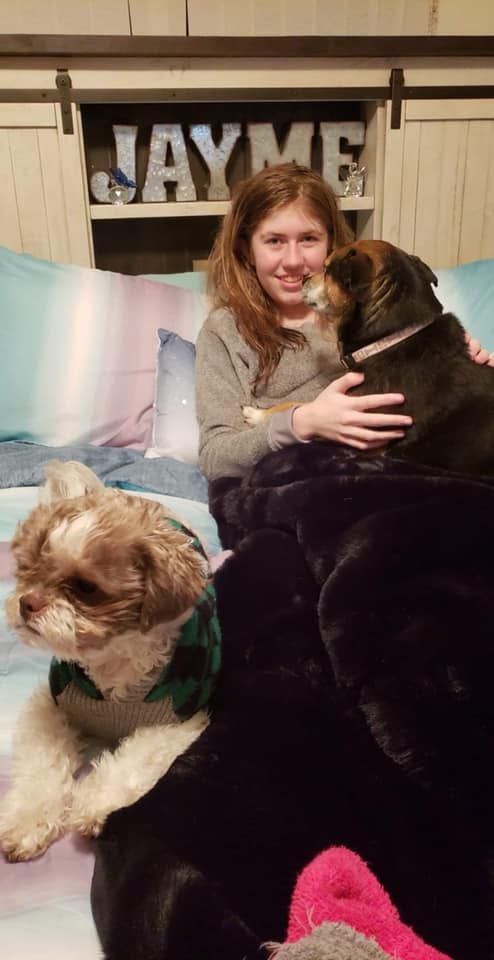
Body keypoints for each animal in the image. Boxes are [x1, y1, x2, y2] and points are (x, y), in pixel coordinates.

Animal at [0, 462, 220, 860]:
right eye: (27, 569)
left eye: (86, 588)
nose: (27, 602)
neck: (112, 660)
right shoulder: (52, 705)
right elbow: (42, 763)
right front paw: (28, 819)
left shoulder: (176, 719)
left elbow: (134, 758)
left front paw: (96, 804)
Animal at [249, 242, 494, 478]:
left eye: (327, 270)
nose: (304, 278)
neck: (392, 339)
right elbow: (304, 403)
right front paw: (259, 414)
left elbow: (305, 408)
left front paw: (258, 415)